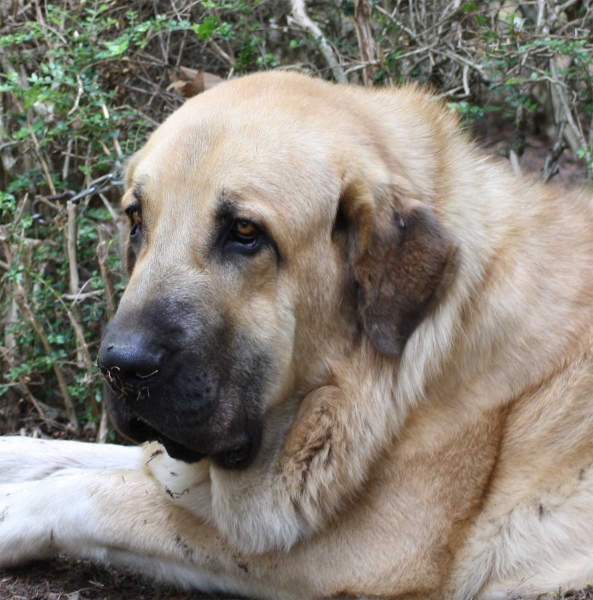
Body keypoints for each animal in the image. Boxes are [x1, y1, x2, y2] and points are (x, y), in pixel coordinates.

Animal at [1, 71, 592, 600]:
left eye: (245, 232)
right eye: (136, 220)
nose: (120, 366)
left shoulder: (352, 550)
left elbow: (96, 492)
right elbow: (91, 457)